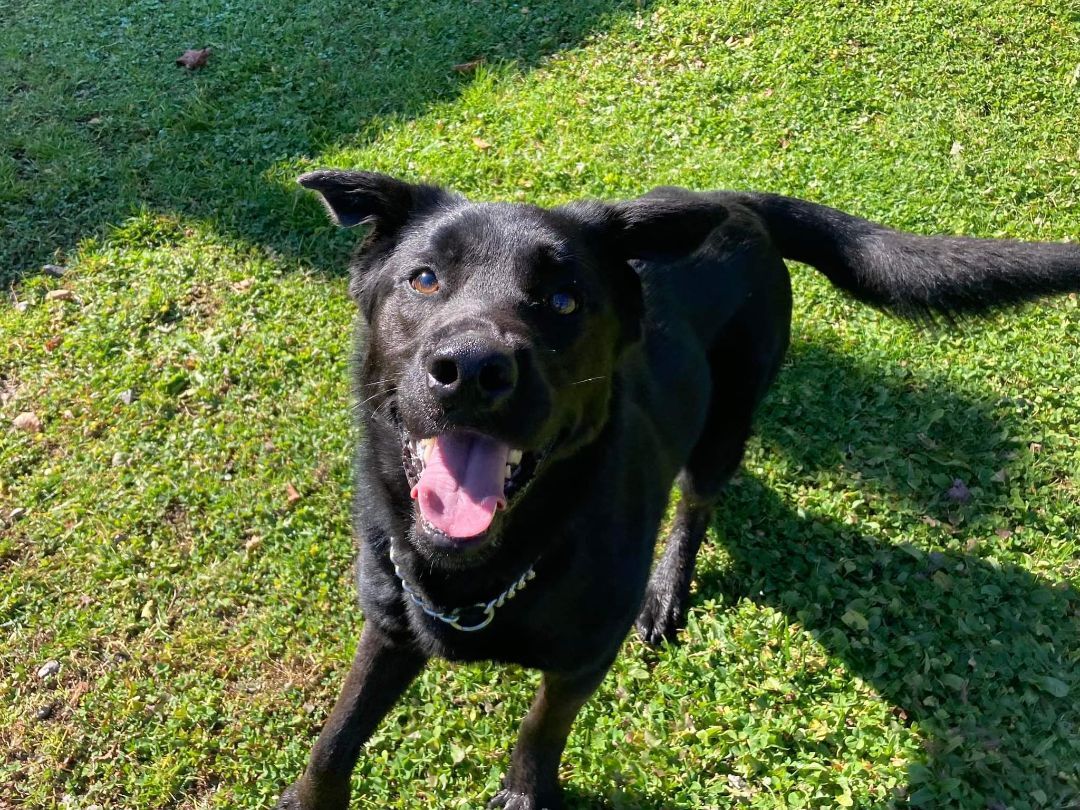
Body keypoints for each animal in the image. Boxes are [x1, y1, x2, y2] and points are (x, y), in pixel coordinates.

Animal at [280, 168, 1080, 807]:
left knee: (697, 503)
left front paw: (525, 793)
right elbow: (336, 734)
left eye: (565, 301)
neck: (484, 569)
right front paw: (309, 796)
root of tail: (735, 201)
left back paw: (669, 588)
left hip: (727, 418)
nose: (473, 368)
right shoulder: (390, 624)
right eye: (424, 279)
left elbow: (541, 729)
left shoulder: (583, 659)